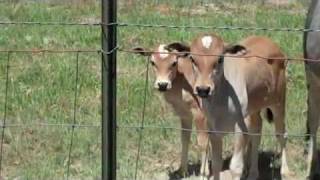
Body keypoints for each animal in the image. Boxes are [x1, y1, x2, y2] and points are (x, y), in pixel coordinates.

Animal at [132, 44, 210, 177]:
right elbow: (185, 139)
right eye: (152, 62)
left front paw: (204, 174)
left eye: (174, 63)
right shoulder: (185, 114)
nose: (162, 84)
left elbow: (203, 143)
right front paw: (182, 171)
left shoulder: (200, 113)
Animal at [168, 34, 292, 179]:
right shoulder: (213, 130)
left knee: (281, 134)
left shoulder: (241, 127)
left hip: (278, 103)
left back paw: (285, 171)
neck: (221, 100)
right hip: (254, 109)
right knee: (257, 132)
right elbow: (216, 163)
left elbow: (236, 166)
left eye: (220, 58)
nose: (203, 89)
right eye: (192, 58)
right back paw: (253, 173)